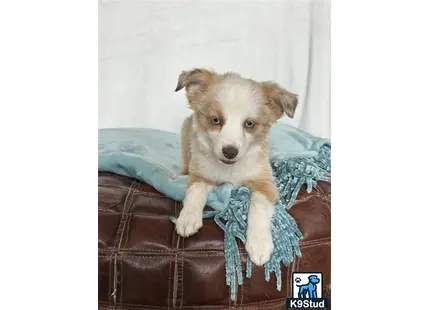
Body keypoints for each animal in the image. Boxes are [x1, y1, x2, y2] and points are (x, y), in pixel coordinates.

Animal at [173, 69, 298, 266]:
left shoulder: (265, 183)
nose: (230, 152)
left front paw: (259, 244)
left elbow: (258, 206)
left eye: (249, 124)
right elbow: (195, 192)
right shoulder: (200, 173)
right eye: (215, 120)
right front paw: (188, 217)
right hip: (186, 136)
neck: (230, 170)